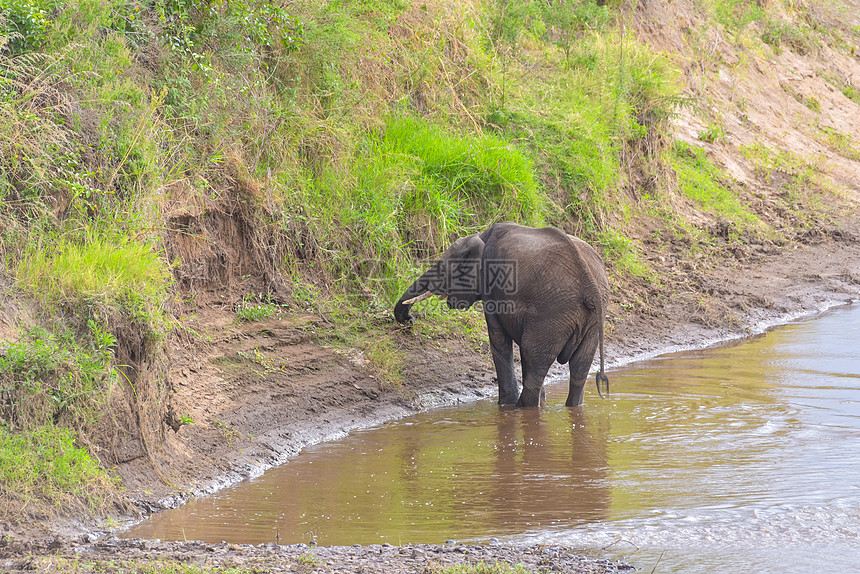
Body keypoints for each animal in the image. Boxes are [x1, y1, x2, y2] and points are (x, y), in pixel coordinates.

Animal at [394, 223, 608, 408]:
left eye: (442, 269)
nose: (410, 320)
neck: (481, 236)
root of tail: (591, 288)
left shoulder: (492, 286)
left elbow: (498, 339)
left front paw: (505, 404)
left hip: (552, 315)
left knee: (534, 359)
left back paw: (522, 408)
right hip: (591, 321)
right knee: (579, 367)